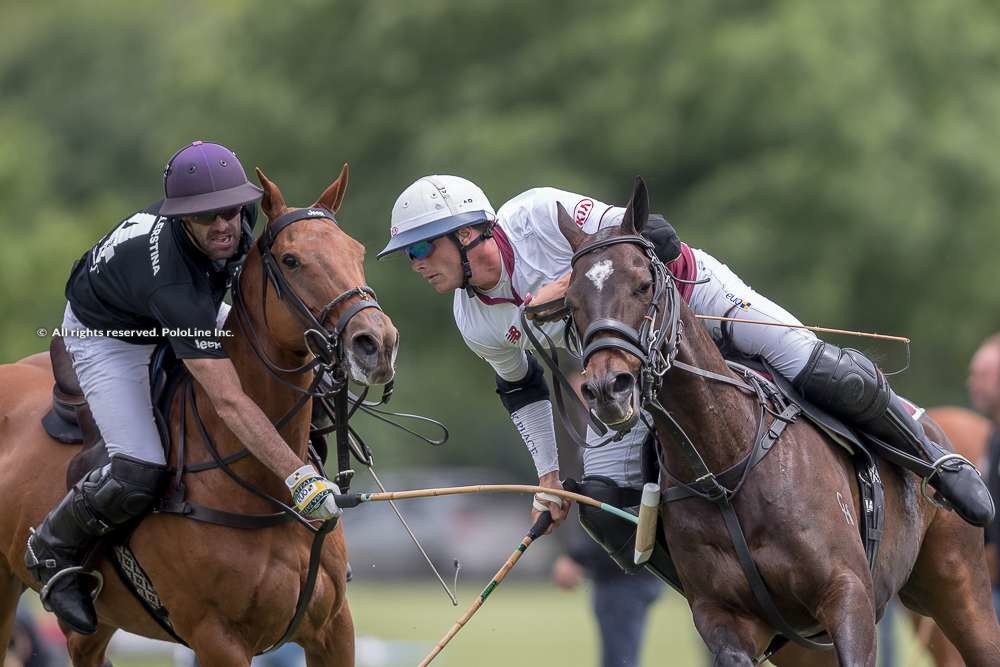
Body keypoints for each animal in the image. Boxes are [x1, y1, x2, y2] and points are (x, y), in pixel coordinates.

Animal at [0, 163, 398, 667]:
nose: (377, 342)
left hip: (92, 627)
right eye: (291, 260)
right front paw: (313, 492)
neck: (263, 492)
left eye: (357, 251)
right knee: (128, 476)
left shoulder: (333, 628)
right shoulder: (217, 638)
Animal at [560, 179, 996, 667]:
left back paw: (960, 481)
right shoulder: (726, 618)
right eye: (571, 304)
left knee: (838, 373)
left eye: (642, 284)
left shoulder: (848, 594)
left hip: (959, 588)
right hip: (810, 646)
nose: (607, 388)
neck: (724, 466)